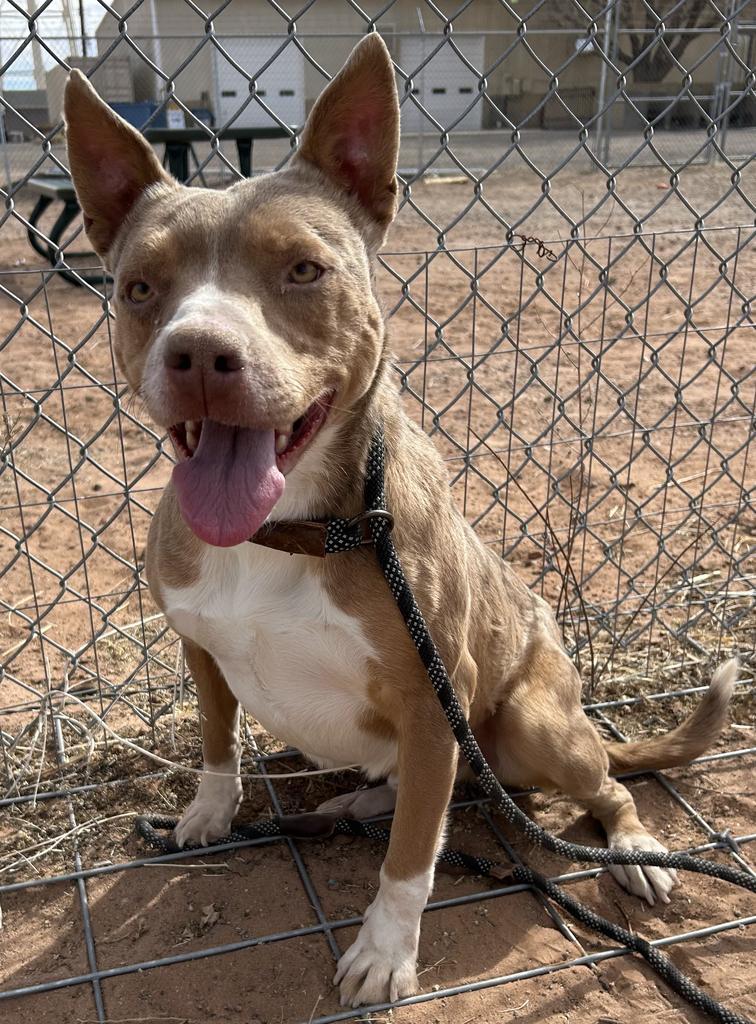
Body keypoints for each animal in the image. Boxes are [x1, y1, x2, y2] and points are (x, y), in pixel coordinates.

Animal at [66, 37, 737, 1007]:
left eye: (304, 270)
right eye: (138, 287)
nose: (197, 354)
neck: (290, 530)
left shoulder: (432, 700)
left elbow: (413, 859)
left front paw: (386, 950)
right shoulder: (201, 649)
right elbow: (219, 740)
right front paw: (208, 811)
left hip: (527, 724)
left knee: (598, 785)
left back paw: (636, 846)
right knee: (433, 788)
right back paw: (360, 800)